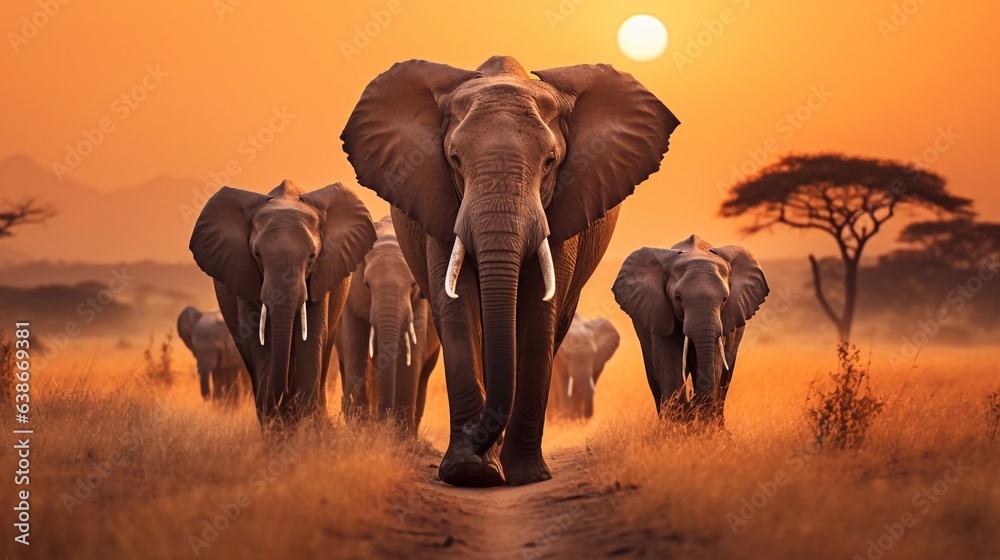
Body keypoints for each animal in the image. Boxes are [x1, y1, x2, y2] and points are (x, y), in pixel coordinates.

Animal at [189, 180, 376, 426]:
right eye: (257, 254)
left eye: (312, 256)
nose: (284, 392)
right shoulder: (245, 275)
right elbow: (259, 343)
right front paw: (277, 427)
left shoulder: (322, 276)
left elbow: (311, 338)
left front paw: (305, 425)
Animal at [336, 215, 441, 435]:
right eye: (367, 284)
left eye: (413, 285)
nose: (384, 421)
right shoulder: (352, 298)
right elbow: (356, 351)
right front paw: (360, 430)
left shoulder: (419, 304)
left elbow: (412, 358)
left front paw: (400, 436)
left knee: (424, 374)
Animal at [612, 235, 769, 423]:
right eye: (677, 298)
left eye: (725, 298)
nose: (693, 400)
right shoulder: (660, 313)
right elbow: (669, 363)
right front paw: (677, 426)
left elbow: (715, 363)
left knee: (725, 380)